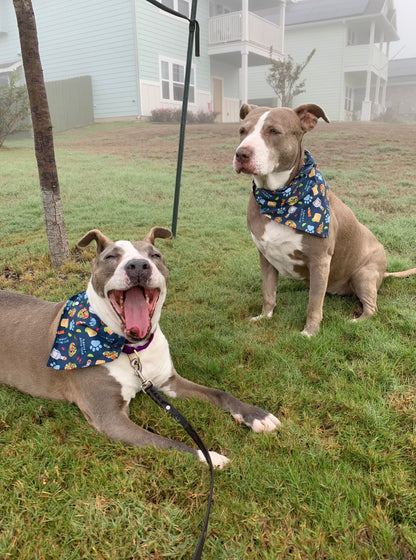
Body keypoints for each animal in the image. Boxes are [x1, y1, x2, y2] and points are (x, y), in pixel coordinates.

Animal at [0, 225, 282, 466]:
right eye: (111, 256)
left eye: (155, 255)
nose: (138, 265)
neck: (131, 349)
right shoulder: (108, 417)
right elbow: (168, 443)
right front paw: (210, 457)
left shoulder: (168, 381)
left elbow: (220, 393)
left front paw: (256, 415)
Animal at [234, 103, 416, 334]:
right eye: (242, 130)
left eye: (274, 131)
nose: (241, 154)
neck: (279, 199)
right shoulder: (265, 256)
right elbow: (268, 292)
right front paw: (264, 317)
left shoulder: (319, 261)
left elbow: (313, 303)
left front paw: (309, 333)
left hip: (364, 275)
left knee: (372, 308)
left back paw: (355, 321)